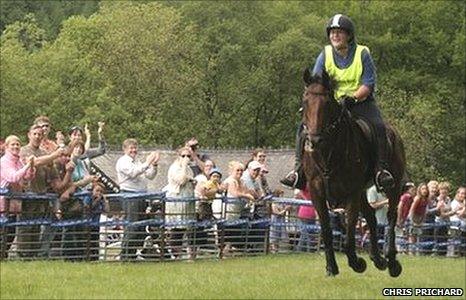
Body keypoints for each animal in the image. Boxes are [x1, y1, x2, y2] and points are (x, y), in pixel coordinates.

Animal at [300, 69, 406, 276]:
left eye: (327, 103)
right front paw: (331, 267)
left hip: (393, 185)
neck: (328, 153)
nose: (314, 140)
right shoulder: (316, 192)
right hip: (363, 192)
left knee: (391, 217)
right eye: (305, 101)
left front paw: (357, 263)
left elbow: (349, 234)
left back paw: (391, 262)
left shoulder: (352, 193)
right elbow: (327, 231)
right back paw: (378, 259)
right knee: (372, 218)